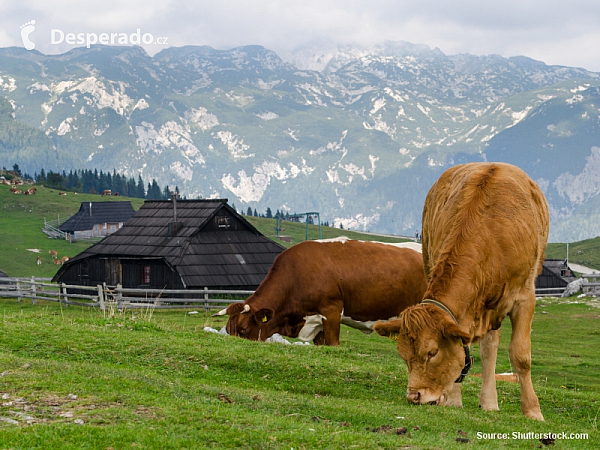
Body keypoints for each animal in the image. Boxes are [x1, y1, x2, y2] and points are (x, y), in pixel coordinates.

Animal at [376, 163, 548, 422]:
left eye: (432, 352)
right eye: (404, 356)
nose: (414, 396)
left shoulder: (524, 297)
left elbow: (520, 355)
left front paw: (533, 411)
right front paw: (453, 401)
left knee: (490, 347)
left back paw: (489, 403)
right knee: (487, 345)